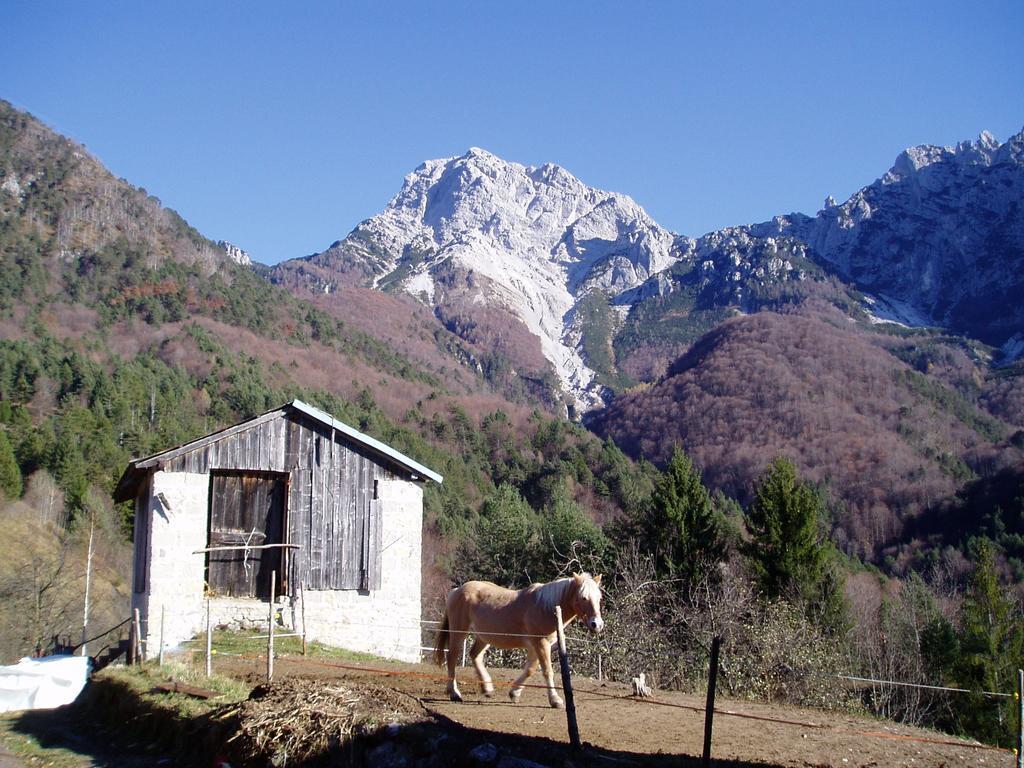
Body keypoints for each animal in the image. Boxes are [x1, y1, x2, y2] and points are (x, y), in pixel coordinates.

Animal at [432, 577, 598, 708]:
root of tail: (456, 590)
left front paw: (514, 693)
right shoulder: (541, 644)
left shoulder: (537, 647)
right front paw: (555, 700)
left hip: (484, 636)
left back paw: (487, 688)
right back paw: (454, 693)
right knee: (452, 658)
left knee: (475, 655)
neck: (544, 607)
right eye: (583, 597)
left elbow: (530, 670)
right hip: (459, 632)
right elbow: (547, 671)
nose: (597, 624)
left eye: (599, 598)